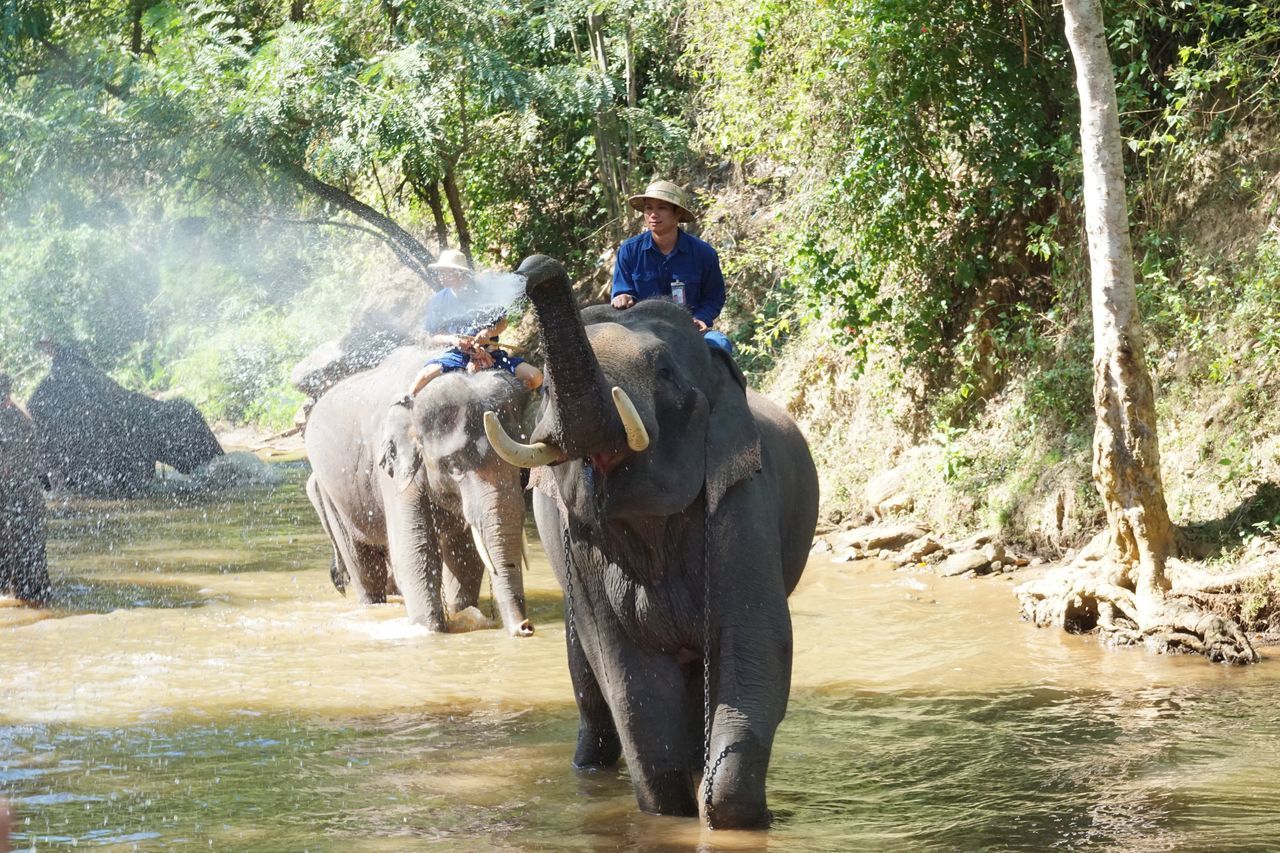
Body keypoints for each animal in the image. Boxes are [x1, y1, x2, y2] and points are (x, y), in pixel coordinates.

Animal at [303, 343, 535, 630]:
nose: (525, 628)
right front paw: (431, 630)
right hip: (332, 494)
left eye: (521, 468)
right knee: (363, 567)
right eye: (454, 466)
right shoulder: (396, 472)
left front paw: (464, 615)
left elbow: (465, 557)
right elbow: (415, 556)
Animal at [483, 252, 824, 824]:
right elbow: (627, 673)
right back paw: (588, 769)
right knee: (587, 675)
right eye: (545, 387)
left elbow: (757, 643)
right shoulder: (582, 543)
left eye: (665, 373)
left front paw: (744, 817)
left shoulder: (740, 498)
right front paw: (674, 813)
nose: (537, 266)